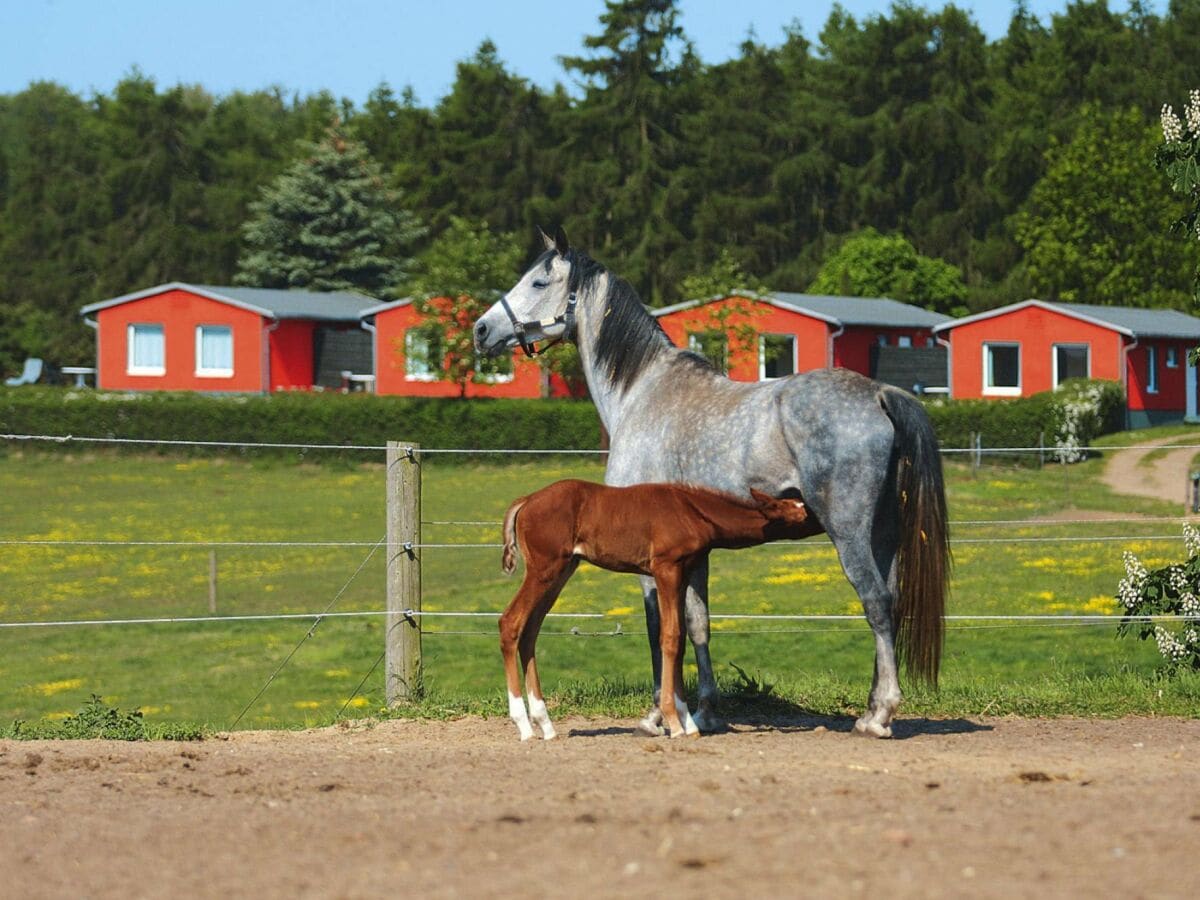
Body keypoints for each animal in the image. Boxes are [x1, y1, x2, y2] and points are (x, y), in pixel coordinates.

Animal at [496, 480, 816, 739]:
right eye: (801, 513)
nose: (819, 518)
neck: (692, 510)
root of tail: (527, 500)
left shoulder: (683, 573)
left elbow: (680, 639)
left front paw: (688, 723)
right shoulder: (665, 569)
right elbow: (670, 638)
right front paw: (675, 723)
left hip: (563, 568)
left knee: (530, 631)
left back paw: (546, 725)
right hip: (545, 568)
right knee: (510, 622)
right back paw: (524, 727)